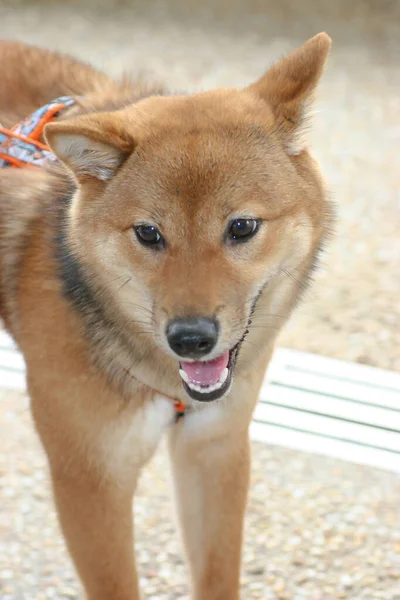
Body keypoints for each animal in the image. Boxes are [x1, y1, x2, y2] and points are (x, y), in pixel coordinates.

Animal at [0, 34, 332, 600]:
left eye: (242, 227)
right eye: (148, 233)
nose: (191, 339)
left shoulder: (214, 446)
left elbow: (218, 575)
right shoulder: (92, 478)